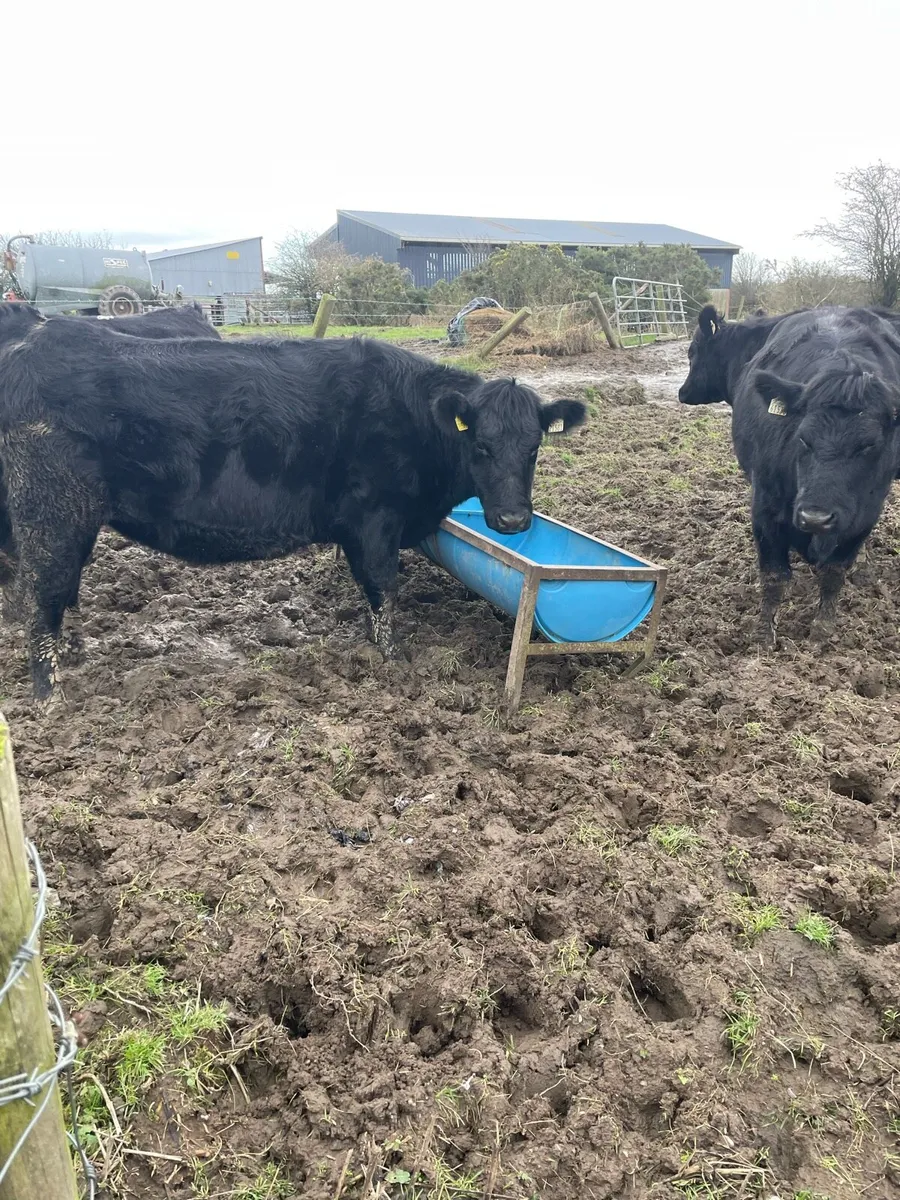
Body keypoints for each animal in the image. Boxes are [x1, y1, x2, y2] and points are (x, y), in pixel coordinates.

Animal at [0, 322, 586, 699]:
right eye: (480, 446)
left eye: (534, 448)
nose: (512, 521)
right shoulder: (374, 518)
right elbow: (384, 590)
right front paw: (393, 662)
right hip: (50, 512)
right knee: (41, 598)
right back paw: (52, 698)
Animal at [731, 307, 900, 643]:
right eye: (803, 438)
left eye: (869, 445)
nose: (815, 518)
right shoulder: (765, 508)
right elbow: (774, 576)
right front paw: (764, 636)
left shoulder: (865, 515)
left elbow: (834, 573)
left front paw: (824, 630)